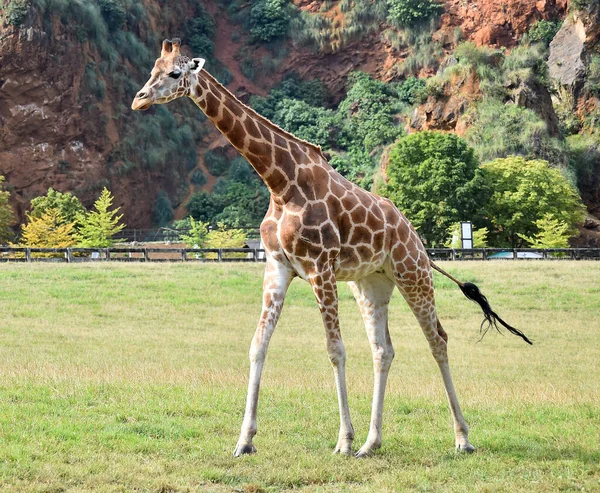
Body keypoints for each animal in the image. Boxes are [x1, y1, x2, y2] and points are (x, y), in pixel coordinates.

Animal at [131, 38, 528, 458]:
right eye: (153, 69)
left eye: (175, 73)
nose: (139, 99)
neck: (280, 182)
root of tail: (415, 235)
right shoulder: (277, 266)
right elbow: (258, 346)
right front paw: (244, 441)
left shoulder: (320, 266)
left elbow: (335, 350)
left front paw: (343, 439)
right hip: (371, 284)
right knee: (383, 350)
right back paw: (372, 442)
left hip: (413, 273)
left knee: (438, 338)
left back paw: (462, 438)